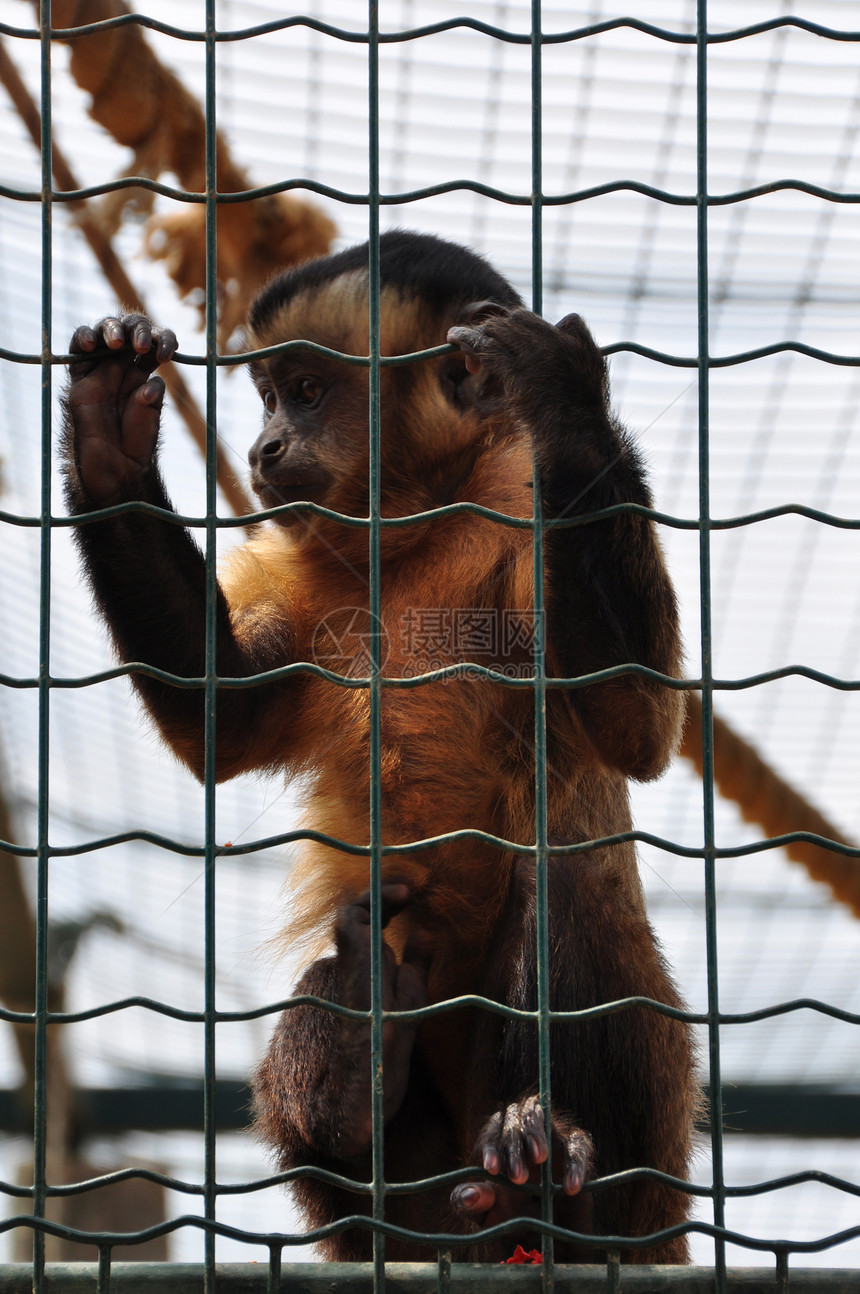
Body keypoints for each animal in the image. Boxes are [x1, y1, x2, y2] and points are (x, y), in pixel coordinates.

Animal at [60, 230, 693, 1262]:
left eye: (309, 391)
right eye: (270, 395)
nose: (264, 448)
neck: (427, 517)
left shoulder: (521, 499)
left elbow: (635, 721)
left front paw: (568, 404)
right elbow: (224, 718)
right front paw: (108, 440)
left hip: (654, 1127)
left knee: (558, 867)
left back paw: (543, 1168)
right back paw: (366, 1069)